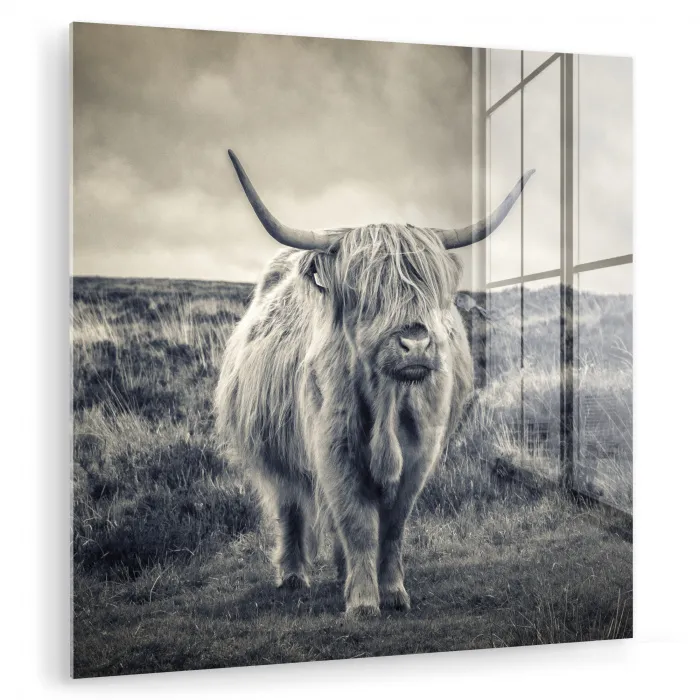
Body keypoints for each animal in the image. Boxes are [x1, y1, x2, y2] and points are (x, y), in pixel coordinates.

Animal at [215, 149, 533, 618]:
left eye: (429, 287)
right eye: (365, 292)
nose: (415, 343)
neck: (388, 401)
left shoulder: (420, 453)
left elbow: (393, 525)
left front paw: (393, 591)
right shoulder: (334, 449)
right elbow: (357, 521)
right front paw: (364, 602)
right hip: (274, 451)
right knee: (290, 505)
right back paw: (293, 575)